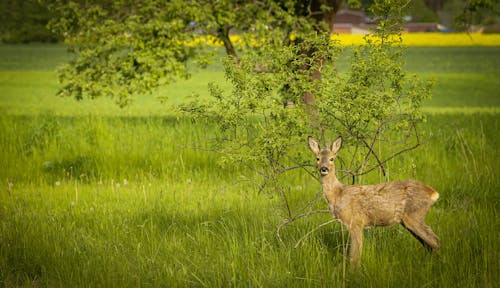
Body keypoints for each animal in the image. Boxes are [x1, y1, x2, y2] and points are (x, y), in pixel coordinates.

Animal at [306, 137, 440, 268]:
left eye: (332, 158)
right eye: (317, 158)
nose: (324, 169)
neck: (338, 194)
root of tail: (433, 193)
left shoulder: (356, 222)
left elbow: (355, 257)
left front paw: (354, 273)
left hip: (414, 215)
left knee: (435, 241)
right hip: (409, 220)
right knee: (429, 244)